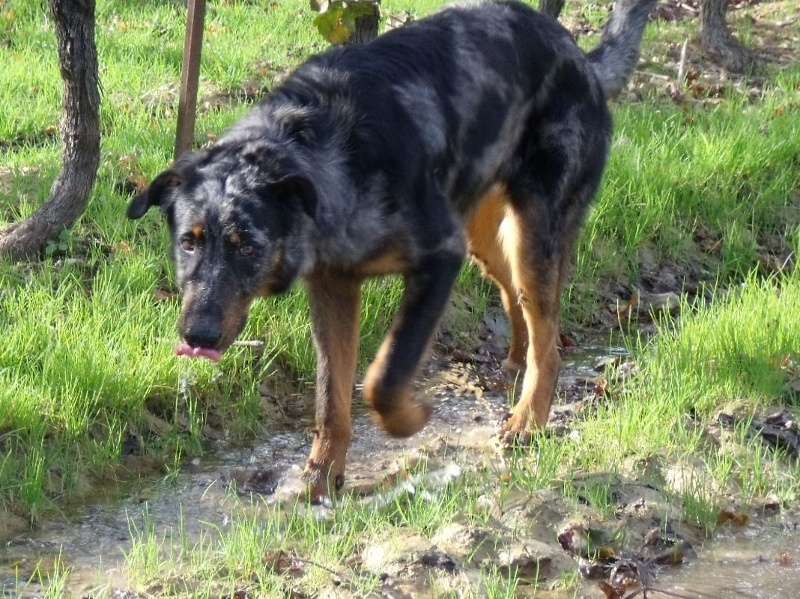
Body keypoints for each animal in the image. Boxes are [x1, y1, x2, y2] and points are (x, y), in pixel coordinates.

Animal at [130, 0, 656, 502]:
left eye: (247, 247)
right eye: (188, 241)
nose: (196, 335)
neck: (328, 153)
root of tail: (582, 60)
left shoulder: (440, 257)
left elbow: (385, 375)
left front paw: (410, 419)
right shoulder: (334, 289)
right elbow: (331, 399)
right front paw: (321, 481)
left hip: (532, 236)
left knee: (548, 342)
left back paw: (527, 421)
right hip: (486, 235)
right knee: (516, 299)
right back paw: (514, 363)